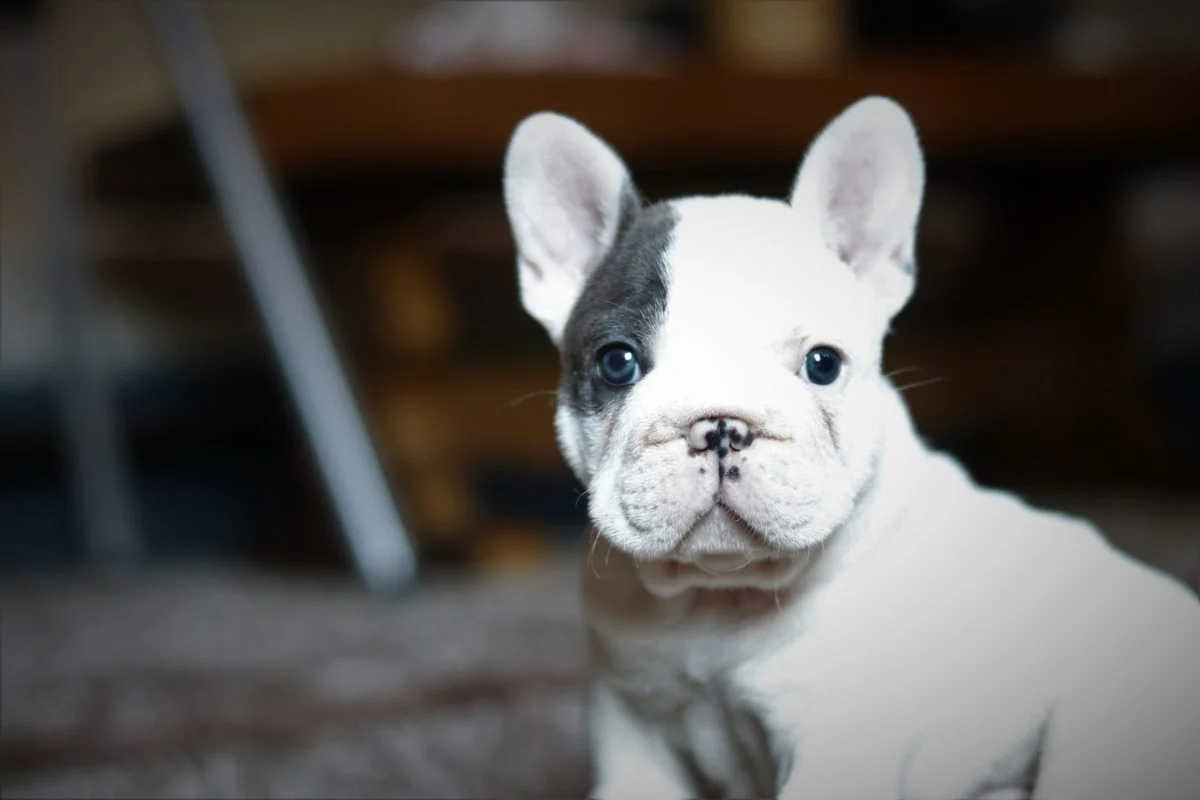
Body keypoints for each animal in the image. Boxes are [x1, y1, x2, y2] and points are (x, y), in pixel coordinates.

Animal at [499, 97, 1200, 796]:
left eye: (823, 364)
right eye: (617, 363)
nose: (720, 424)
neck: (720, 596)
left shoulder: (832, 750)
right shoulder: (636, 730)